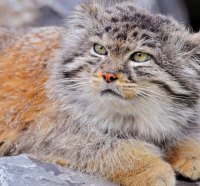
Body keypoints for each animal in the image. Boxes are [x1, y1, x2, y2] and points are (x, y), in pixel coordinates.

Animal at [0, 0, 200, 185]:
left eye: (140, 56)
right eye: (100, 49)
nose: (108, 75)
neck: (129, 119)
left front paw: (191, 151)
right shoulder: (48, 137)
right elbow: (112, 147)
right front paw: (154, 170)